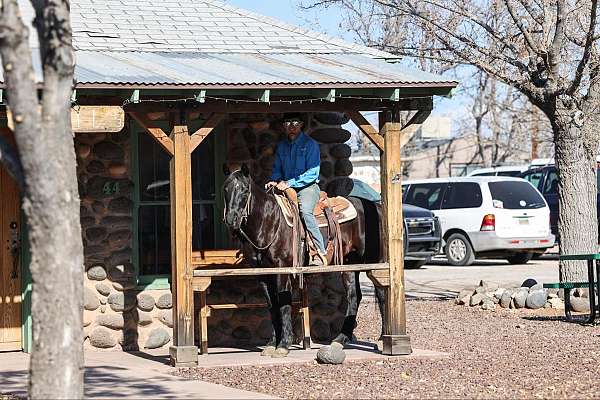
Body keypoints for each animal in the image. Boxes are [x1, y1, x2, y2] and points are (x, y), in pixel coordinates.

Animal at [221, 164, 384, 358]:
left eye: (245, 190)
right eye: (225, 189)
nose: (231, 220)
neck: (269, 222)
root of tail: (376, 207)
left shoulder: (282, 269)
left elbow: (283, 304)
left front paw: (283, 345)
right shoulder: (263, 274)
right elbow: (272, 306)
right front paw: (272, 344)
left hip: (377, 263)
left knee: (383, 293)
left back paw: (382, 340)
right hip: (349, 264)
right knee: (354, 296)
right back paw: (340, 339)